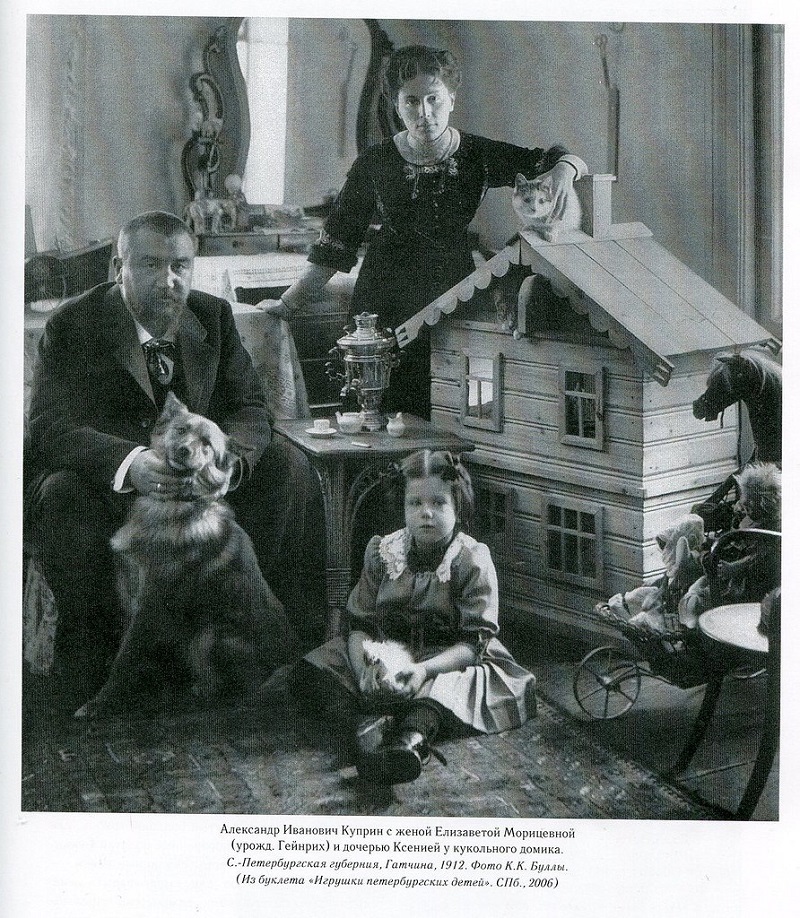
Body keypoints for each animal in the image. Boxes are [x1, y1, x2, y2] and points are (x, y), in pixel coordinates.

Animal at [75, 393, 297, 718]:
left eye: (207, 443)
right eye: (181, 430)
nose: (184, 450)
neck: (173, 505)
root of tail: (291, 664)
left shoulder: (150, 604)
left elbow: (125, 657)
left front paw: (101, 702)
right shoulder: (127, 589)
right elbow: (124, 644)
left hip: (210, 635)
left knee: (236, 694)